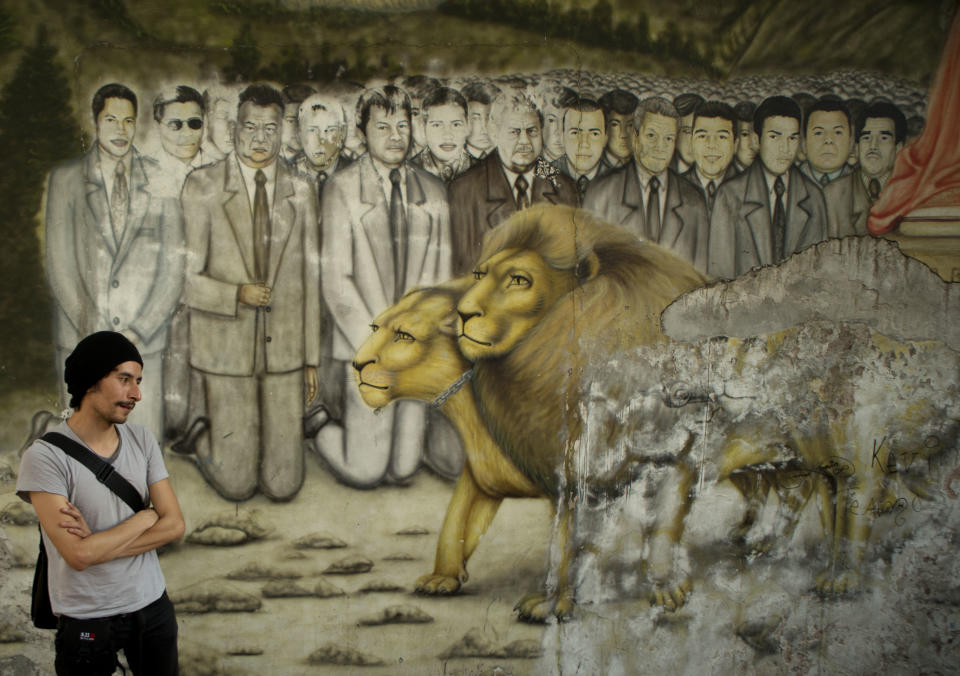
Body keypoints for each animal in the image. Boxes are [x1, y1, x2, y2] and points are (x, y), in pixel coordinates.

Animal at [458, 205, 704, 616]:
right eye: (480, 275)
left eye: (519, 280)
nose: (462, 313)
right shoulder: (570, 469)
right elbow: (565, 539)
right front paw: (554, 601)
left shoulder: (677, 455)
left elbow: (663, 526)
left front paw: (665, 587)